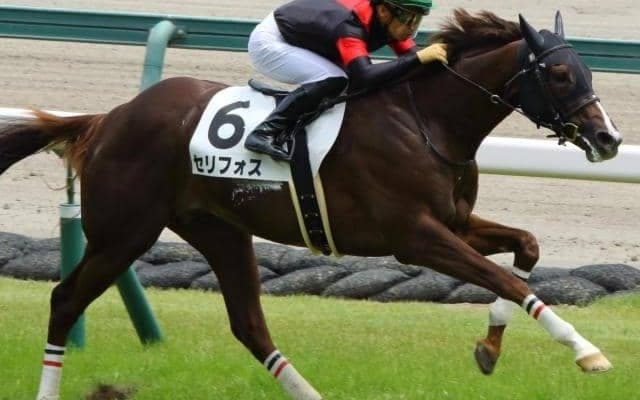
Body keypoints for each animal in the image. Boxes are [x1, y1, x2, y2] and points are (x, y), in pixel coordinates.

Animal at [0, 9, 622, 400]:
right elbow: (511, 282)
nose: (609, 138)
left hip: (220, 230)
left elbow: (526, 251)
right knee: (64, 301)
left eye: (588, 70)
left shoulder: (454, 222)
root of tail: (108, 118)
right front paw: (588, 352)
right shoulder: (415, 238)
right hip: (124, 232)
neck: (425, 120)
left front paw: (490, 348)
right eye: (559, 73)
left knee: (249, 324)